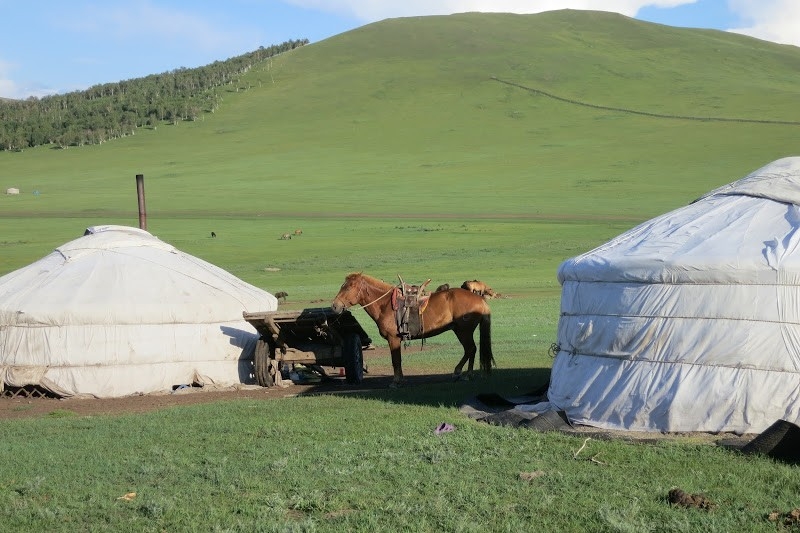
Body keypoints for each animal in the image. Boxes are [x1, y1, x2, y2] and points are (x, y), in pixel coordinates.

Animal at [330, 272, 494, 384]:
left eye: (349, 287)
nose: (334, 306)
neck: (385, 304)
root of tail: (479, 299)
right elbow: (398, 360)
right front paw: (401, 379)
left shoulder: (393, 339)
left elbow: (396, 360)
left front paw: (396, 381)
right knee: (471, 349)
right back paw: (467, 374)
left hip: (463, 331)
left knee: (470, 349)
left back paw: (461, 373)